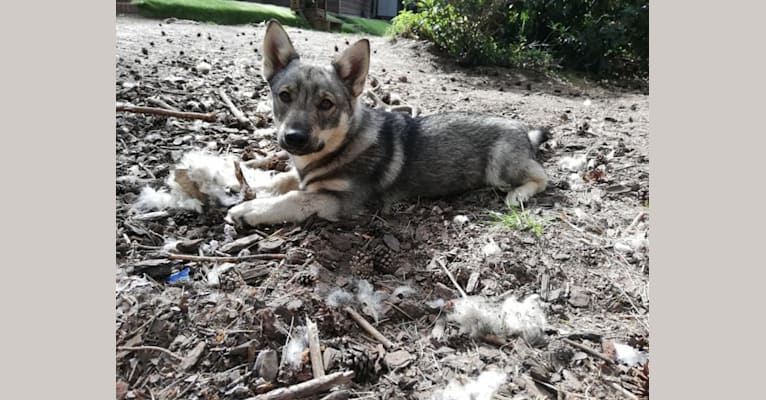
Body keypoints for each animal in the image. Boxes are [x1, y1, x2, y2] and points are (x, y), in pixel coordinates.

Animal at [134, 20, 552, 227]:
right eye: (284, 96)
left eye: (326, 104)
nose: (294, 138)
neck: (340, 146)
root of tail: (523, 131)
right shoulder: (303, 175)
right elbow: (282, 181)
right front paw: (249, 186)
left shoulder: (336, 200)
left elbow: (292, 198)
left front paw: (251, 210)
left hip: (501, 168)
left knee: (543, 176)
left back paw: (518, 196)